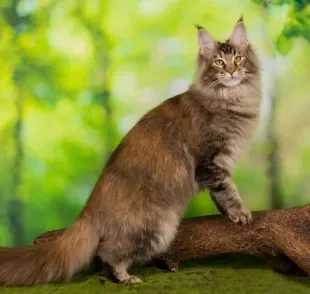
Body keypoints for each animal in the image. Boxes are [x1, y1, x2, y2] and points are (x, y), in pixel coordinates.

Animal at [0, 17, 262, 286]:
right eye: (219, 62)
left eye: (238, 58)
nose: (231, 71)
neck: (232, 98)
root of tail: (90, 208)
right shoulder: (211, 161)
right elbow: (226, 190)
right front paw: (239, 212)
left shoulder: (219, 161)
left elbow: (220, 194)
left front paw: (228, 213)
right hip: (157, 226)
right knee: (107, 253)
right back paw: (125, 277)